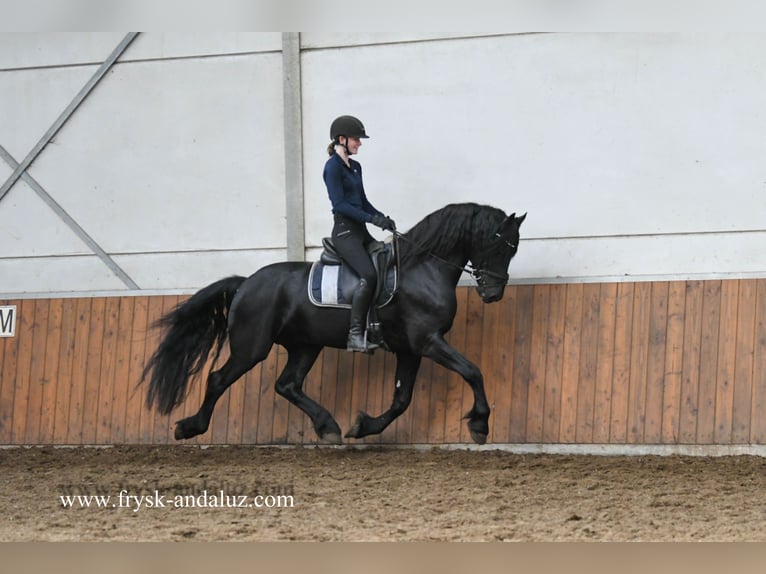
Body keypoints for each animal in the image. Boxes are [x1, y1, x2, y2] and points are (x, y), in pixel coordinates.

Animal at [142, 202, 526, 445]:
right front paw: (480, 424)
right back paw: (190, 427)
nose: (493, 294)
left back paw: (328, 427)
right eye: (498, 245)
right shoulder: (428, 341)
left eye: (514, 250)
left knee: (287, 385)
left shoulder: (410, 348)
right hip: (252, 346)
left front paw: (363, 427)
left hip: (305, 346)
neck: (423, 268)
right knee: (219, 379)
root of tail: (247, 282)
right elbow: (472, 371)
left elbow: (402, 399)